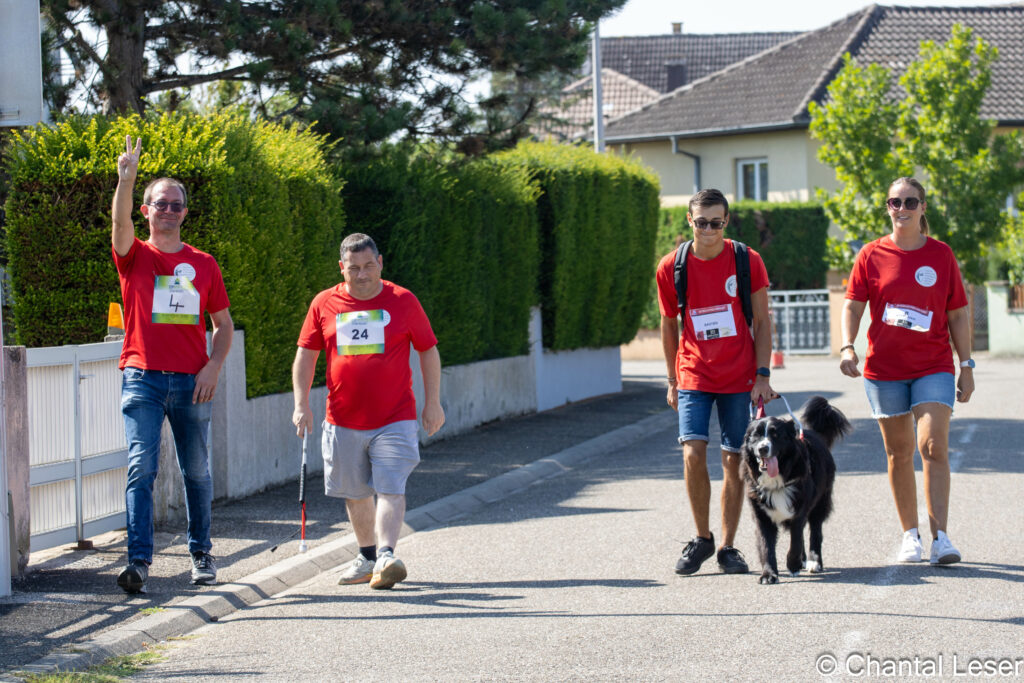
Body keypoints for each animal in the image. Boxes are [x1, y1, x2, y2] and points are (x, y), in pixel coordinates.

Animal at [741, 397, 851, 585]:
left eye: (775, 435)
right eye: (756, 435)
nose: (763, 448)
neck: (776, 480)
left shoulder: (799, 511)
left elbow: (795, 542)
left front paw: (793, 565)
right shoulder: (761, 515)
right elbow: (766, 545)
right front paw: (768, 575)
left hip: (820, 502)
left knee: (815, 532)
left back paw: (814, 562)